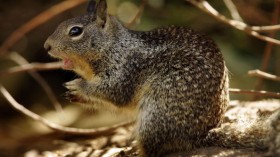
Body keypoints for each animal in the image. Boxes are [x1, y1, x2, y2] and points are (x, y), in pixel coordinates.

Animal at [44, 0, 280, 156]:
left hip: (154, 117)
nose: (46, 46)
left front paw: (78, 86)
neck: (113, 46)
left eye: (75, 31)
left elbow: (114, 92)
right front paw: (72, 94)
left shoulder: (125, 70)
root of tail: (202, 135)